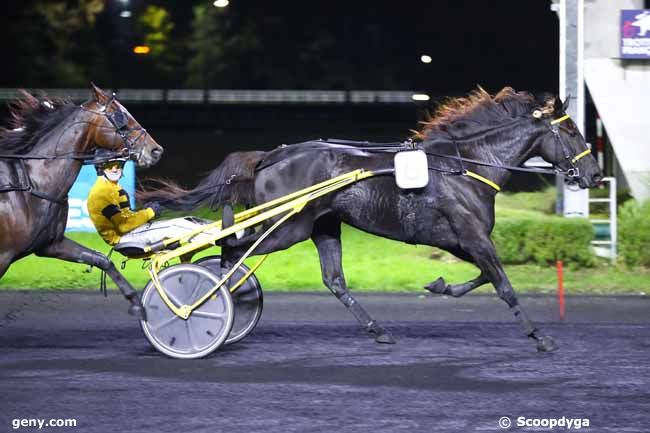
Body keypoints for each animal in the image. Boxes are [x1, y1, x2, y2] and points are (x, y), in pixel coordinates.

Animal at [0, 83, 162, 314]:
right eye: (121, 117)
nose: (156, 150)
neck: (31, 184)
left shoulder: (51, 244)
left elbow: (101, 259)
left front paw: (136, 302)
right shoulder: (3, 256)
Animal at [144, 88, 600, 352]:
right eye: (572, 132)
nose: (594, 175)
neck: (466, 166)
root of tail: (270, 157)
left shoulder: (458, 240)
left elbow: (483, 277)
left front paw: (440, 285)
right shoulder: (472, 236)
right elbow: (503, 284)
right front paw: (540, 337)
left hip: (323, 226)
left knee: (331, 279)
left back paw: (377, 329)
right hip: (288, 227)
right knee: (232, 249)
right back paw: (197, 304)